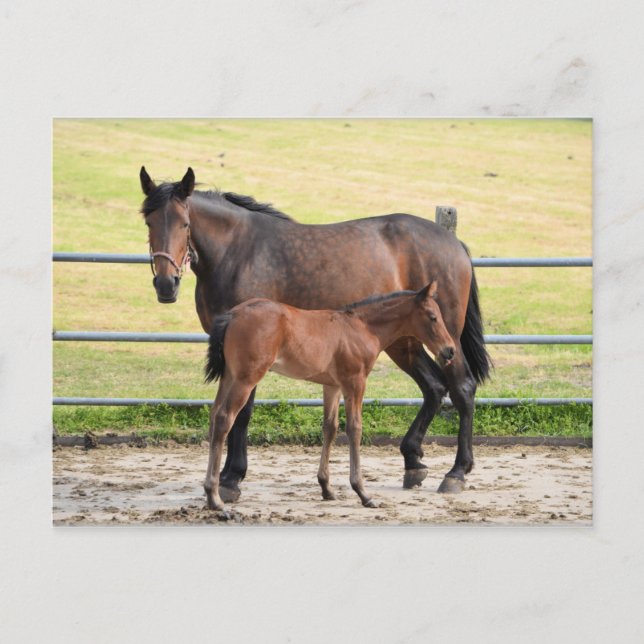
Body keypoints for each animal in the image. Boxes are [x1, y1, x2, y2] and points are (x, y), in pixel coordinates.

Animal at [203, 283, 456, 510]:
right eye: (433, 317)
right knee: (225, 418)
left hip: (229, 377)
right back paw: (215, 498)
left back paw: (210, 492)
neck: (363, 328)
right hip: (246, 379)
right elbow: (354, 429)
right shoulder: (355, 383)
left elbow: (330, 428)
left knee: (214, 416)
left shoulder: (332, 386)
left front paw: (326, 488)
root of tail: (233, 314)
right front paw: (363, 493)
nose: (450, 350)